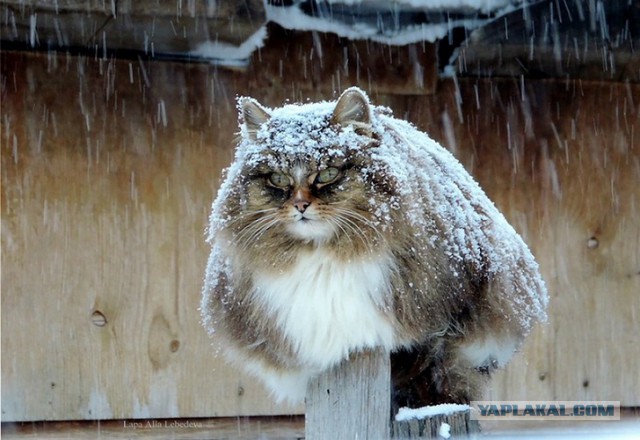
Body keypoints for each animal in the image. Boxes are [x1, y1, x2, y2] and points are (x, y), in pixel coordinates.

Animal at [201, 86, 552, 410]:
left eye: (328, 173)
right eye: (276, 179)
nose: (300, 205)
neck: (322, 257)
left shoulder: (444, 321)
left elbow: (425, 369)